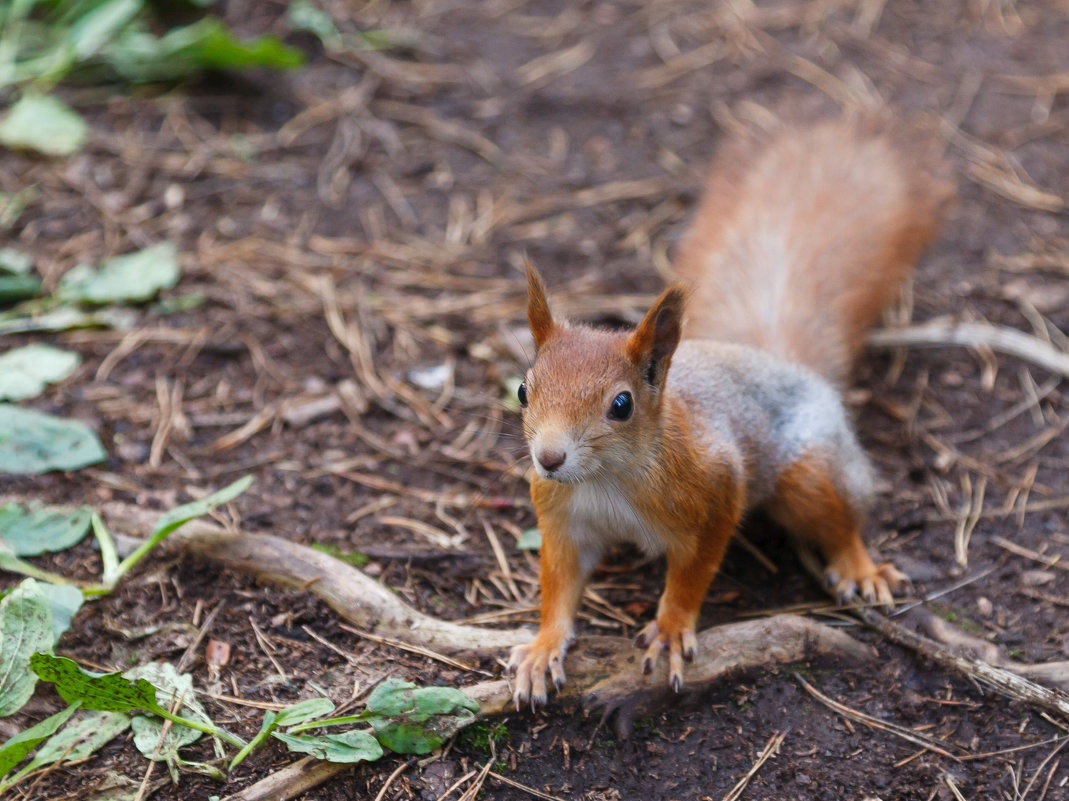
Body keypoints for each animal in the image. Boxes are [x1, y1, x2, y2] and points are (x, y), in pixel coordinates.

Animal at [506, 113, 953, 705]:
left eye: (621, 404)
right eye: (522, 390)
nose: (549, 458)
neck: (607, 480)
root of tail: (777, 360)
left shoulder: (716, 488)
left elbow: (694, 571)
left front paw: (671, 628)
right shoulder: (561, 520)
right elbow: (557, 586)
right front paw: (542, 647)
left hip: (810, 470)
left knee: (840, 517)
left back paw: (860, 568)